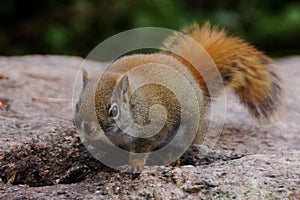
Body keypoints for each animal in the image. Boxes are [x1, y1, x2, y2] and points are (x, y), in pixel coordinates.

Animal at [74, 21, 282, 173]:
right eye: (77, 105)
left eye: (114, 110)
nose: (87, 127)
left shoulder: (152, 128)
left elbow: (141, 150)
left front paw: (134, 165)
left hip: (187, 131)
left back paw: (170, 161)